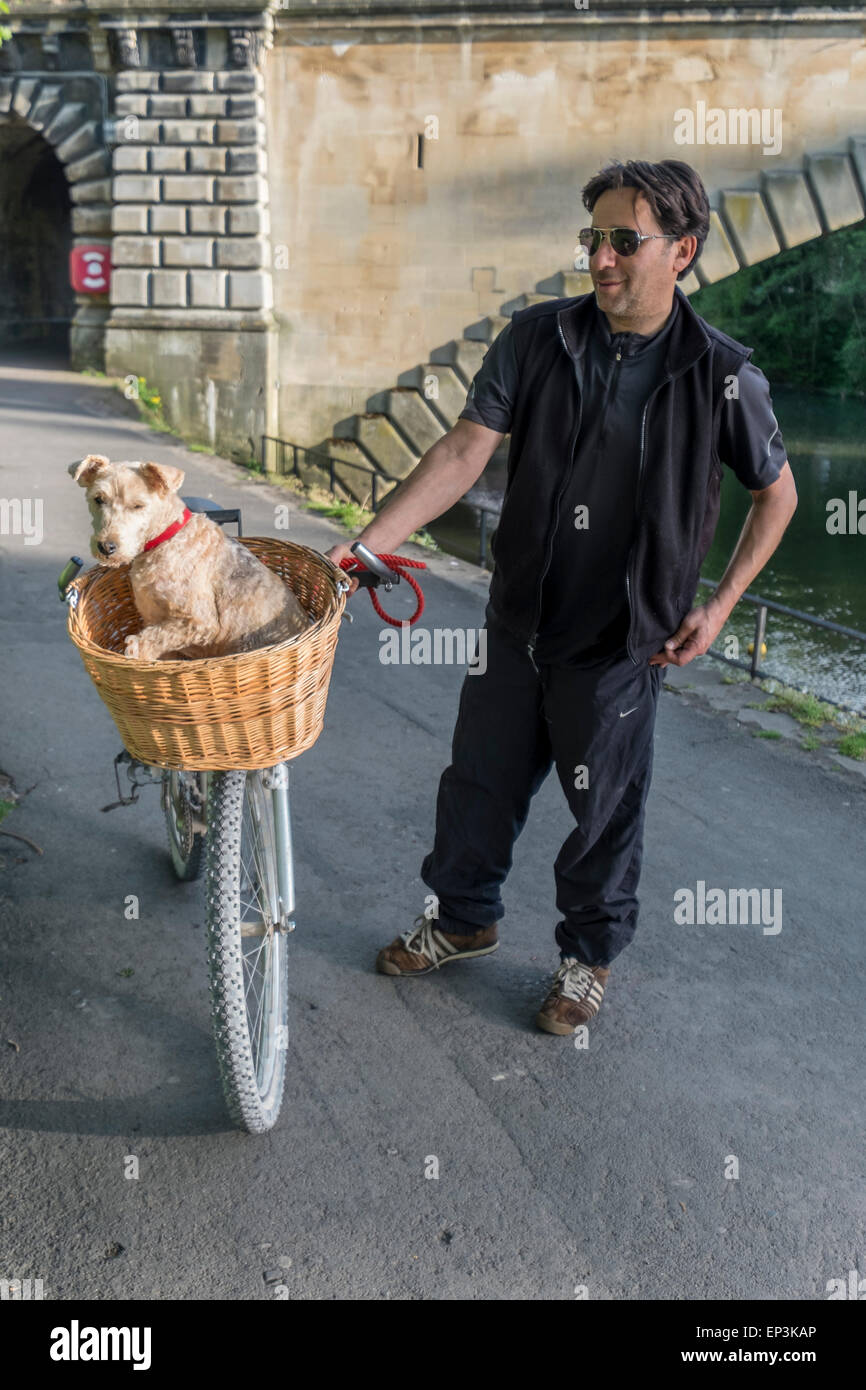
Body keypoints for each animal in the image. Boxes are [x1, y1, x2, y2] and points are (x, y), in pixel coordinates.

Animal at [69, 450, 311, 656]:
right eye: (98, 499)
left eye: (138, 505)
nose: (106, 547)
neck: (165, 538)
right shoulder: (154, 618)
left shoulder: (200, 622)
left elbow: (154, 638)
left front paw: (135, 650)